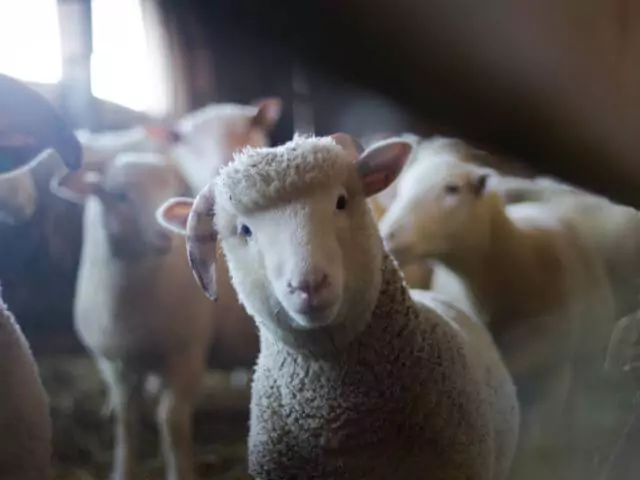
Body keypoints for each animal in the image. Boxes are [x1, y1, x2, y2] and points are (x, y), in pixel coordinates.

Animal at [50, 153, 256, 480]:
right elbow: (126, 419)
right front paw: (122, 470)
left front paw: (180, 472)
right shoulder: (114, 364)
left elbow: (171, 421)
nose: (165, 235)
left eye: (173, 188)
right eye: (120, 196)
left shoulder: (188, 355)